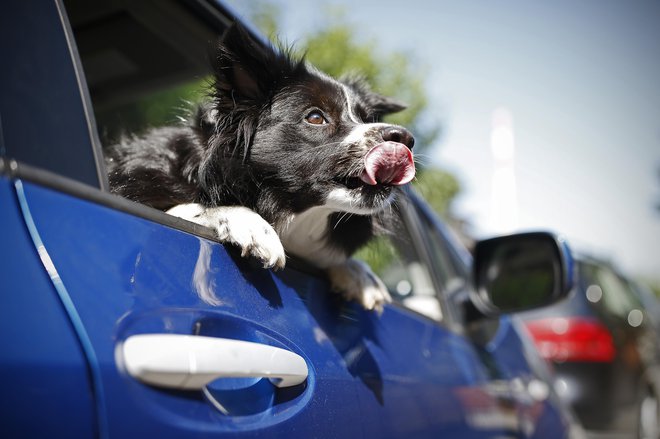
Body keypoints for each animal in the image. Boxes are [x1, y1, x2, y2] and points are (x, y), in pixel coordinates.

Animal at [105, 24, 416, 312]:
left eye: (367, 119)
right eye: (316, 117)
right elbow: (191, 207)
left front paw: (358, 273)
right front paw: (248, 221)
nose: (403, 138)